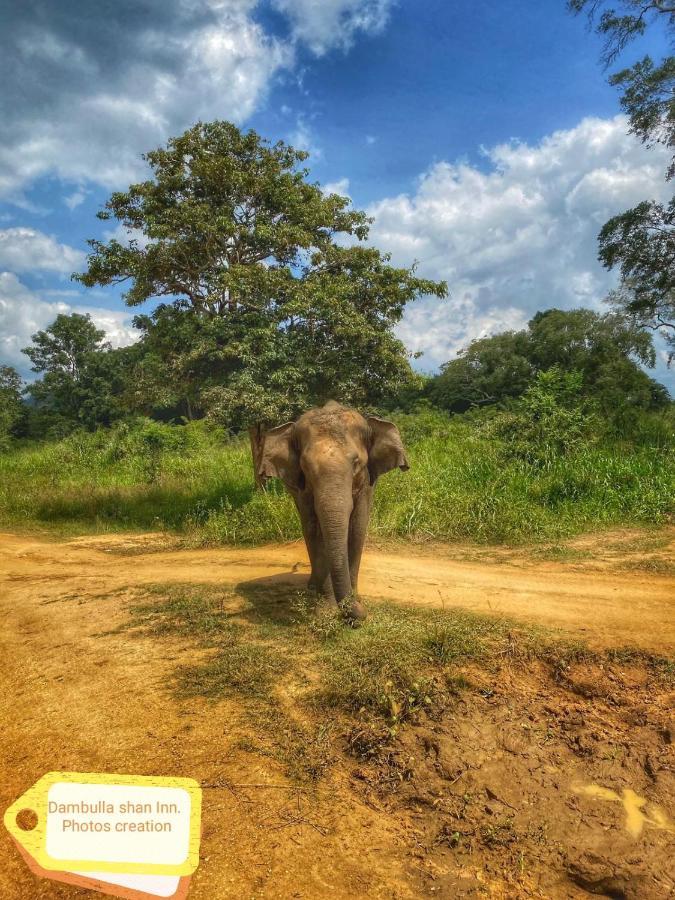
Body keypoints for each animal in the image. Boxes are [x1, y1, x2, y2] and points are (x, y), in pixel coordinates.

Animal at [258, 402, 406, 624]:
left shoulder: (367, 483)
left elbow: (358, 527)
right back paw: (312, 589)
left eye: (356, 462)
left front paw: (355, 602)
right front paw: (326, 610)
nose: (362, 613)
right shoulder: (302, 488)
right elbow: (313, 529)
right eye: (306, 466)